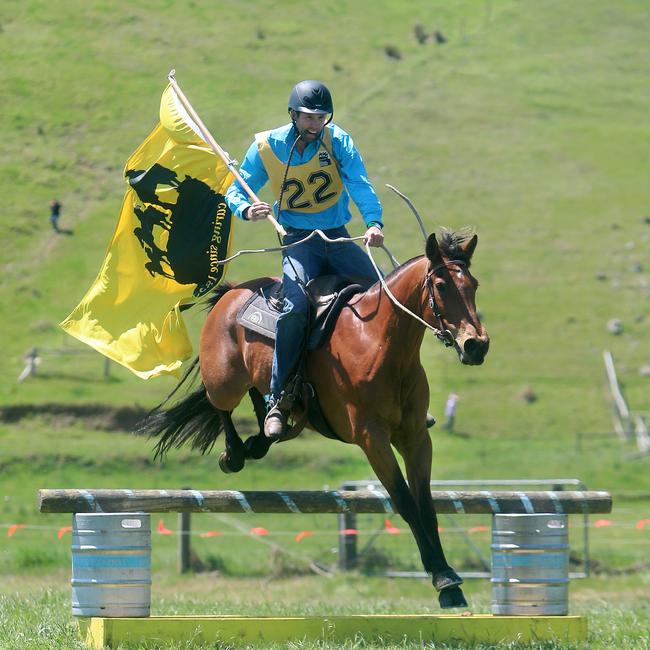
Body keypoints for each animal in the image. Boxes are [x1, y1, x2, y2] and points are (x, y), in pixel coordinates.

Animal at [140, 229, 486, 608]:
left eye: (473, 284)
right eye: (440, 285)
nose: (476, 345)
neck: (380, 344)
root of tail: (231, 291)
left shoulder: (416, 438)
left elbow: (426, 506)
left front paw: (448, 578)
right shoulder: (373, 439)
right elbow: (406, 504)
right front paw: (443, 580)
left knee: (264, 395)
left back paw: (268, 430)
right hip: (224, 380)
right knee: (224, 406)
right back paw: (235, 453)